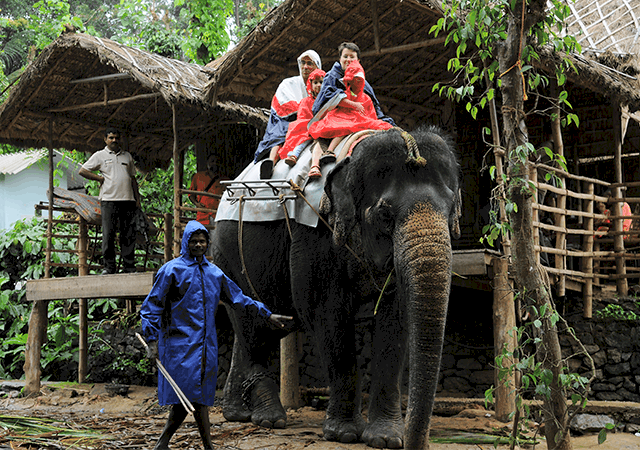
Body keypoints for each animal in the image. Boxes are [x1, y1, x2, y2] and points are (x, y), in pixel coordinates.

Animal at [212, 125, 462, 450]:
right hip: (227, 254)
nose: (417, 443)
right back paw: (270, 418)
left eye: (451, 210)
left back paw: (237, 414)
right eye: (385, 215)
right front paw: (344, 434)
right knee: (253, 328)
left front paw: (386, 438)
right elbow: (326, 313)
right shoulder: (314, 234)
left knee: (254, 329)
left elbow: (396, 321)